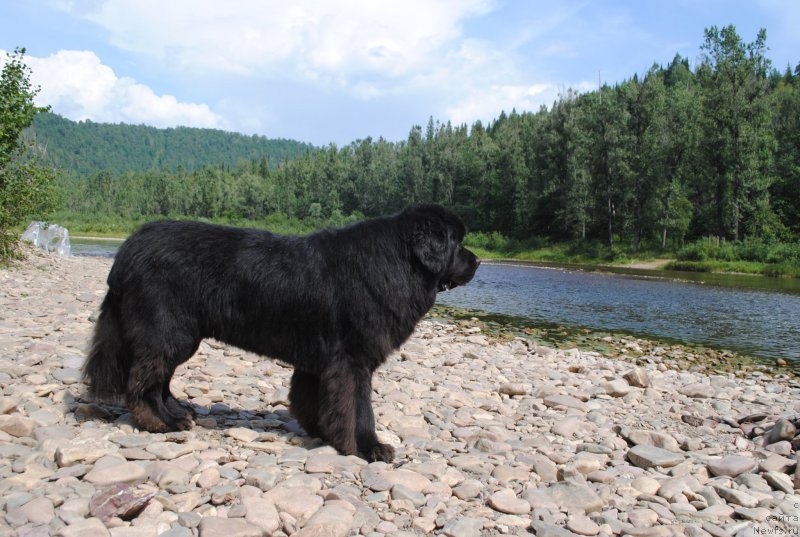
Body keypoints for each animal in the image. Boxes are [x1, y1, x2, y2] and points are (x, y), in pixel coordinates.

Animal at [84, 203, 478, 462]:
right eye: (455, 242)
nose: (476, 261)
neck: (397, 263)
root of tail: (129, 247)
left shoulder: (320, 363)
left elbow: (318, 401)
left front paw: (324, 432)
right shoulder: (352, 361)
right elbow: (358, 407)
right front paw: (369, 448)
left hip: (176, 336)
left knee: (158, 378)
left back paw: (178, 411)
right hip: (168, 331)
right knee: (144, 381)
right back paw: (162, 422)